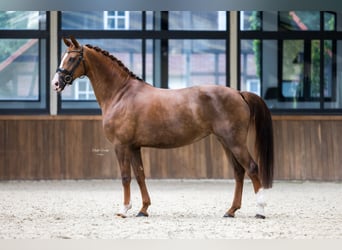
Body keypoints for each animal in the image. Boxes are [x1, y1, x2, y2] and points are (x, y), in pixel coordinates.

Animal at [52, 36, 274, 219]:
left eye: (72, 58)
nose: (55, 83)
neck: (121, 94)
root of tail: (239, 93)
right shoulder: (134, 146)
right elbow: (140, 175)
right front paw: (143, 209)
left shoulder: (121, 145)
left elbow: (125, 177)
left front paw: (124, 209)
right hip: (225, 142)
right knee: (239, 172)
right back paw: (231, 211)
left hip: (234, 142)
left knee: (252, 168)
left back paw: (260, 211)